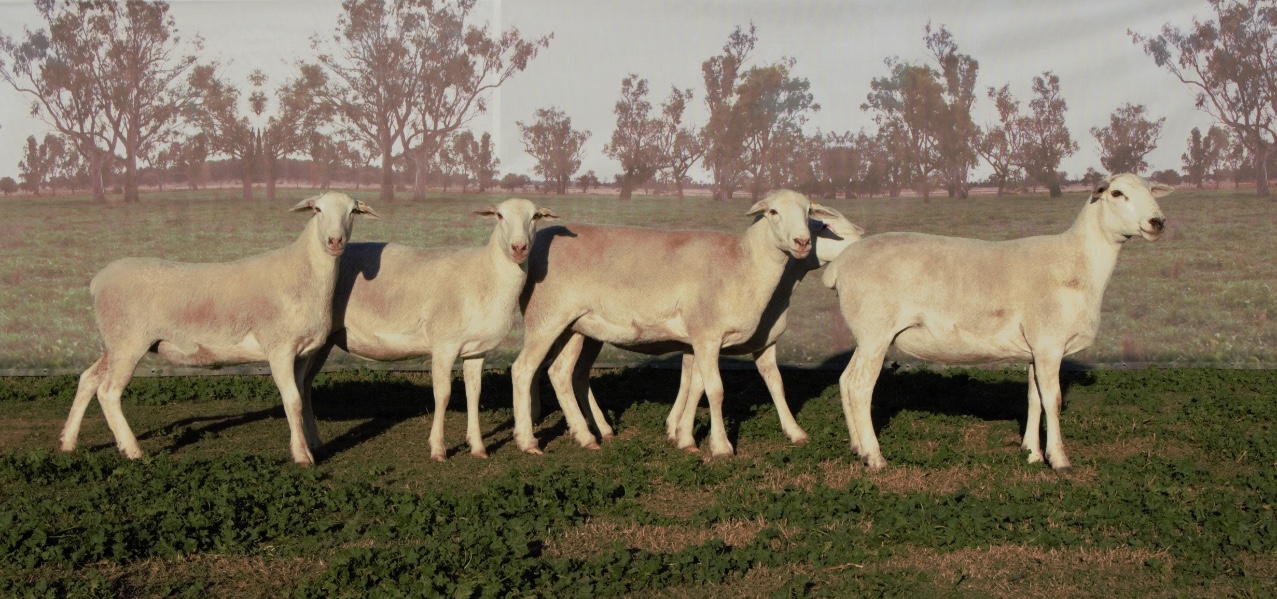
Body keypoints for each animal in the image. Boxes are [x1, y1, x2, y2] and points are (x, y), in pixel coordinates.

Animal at [59, 192, 380, 465]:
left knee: (88, 379)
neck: (304, 274)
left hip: (114, 342)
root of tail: (98, 280)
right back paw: (132, 450)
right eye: (317, 210)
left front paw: (310, 445)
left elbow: (301, 398)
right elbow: (291, 400)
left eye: (353, 211)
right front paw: (302, 457)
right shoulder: (279, 349)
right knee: (108, 392)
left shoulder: (303, 352)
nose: (335, 241)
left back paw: (68, 442)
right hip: (128, 342)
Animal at [296, 198, 559, 462]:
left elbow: (474, 393)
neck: (486, 276)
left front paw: (477, 446)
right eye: (500, 216)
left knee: (304, 385)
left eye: (535, 217)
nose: (519, 247)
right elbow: (442, 395)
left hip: (323, 343)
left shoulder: (476, 350)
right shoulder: (444, 345)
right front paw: (437, 449)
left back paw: (314, 443)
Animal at [511, 189, 835, 457]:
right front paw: (721, 447)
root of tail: (537, 241)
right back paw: (528, 442)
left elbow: (695, 386)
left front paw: (685, 438)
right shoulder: (707, 335)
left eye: (809, 211)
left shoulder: (699, 339)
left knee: (561, 373)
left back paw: (587, 436)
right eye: (773, 212)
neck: (741, 263)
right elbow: (715, 390)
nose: (802, 242)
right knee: (524, 369)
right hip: (546, 318)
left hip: (575, 326)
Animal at [820, 173, 1169, 471]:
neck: (1077, 262)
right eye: (1117, 193)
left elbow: (1034, 398)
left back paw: (857, 448)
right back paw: (875, 458)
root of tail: (840, 264)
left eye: (1151, 190)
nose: (1158, 222)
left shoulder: (1035, 348)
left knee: (846, 380)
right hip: (875, 332)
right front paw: (1059, 460)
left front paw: (1031, 452)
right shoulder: (1049, 343)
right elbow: (1053, 400)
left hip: (865, 336)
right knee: (860, 387)